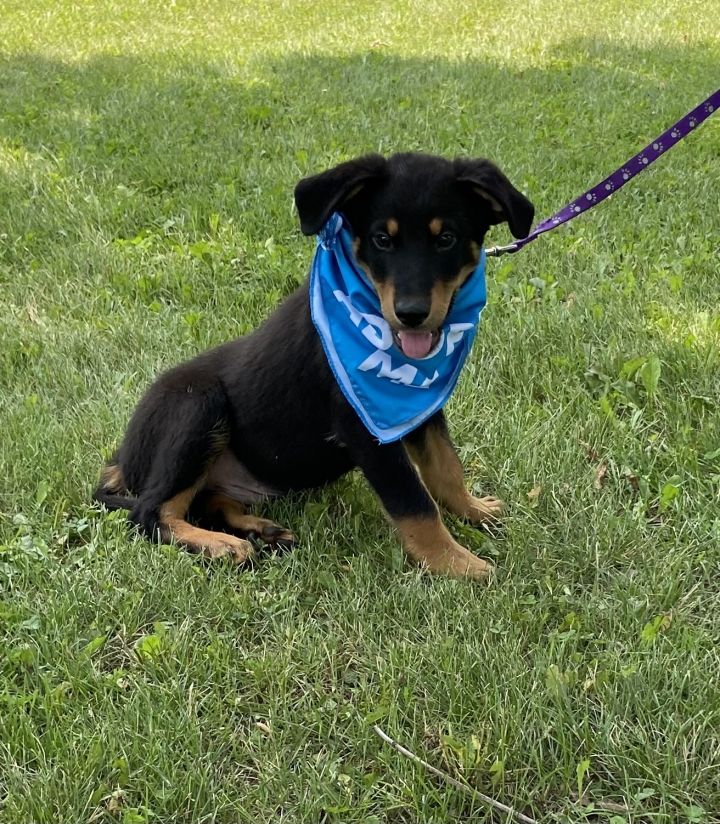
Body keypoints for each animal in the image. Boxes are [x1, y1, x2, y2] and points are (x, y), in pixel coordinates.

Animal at [94, 153, 534, 579]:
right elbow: (414, 503)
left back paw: (260, 530)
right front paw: (456, 563)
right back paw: (221, 545)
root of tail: (122, 459)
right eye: (382, 239)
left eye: (446, 239)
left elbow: (445, 468)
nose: (412, 315)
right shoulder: (364, 430)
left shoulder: (421, 410)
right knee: (149, 512)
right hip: (197, 404)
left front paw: (474, 510)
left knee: (204, 502)